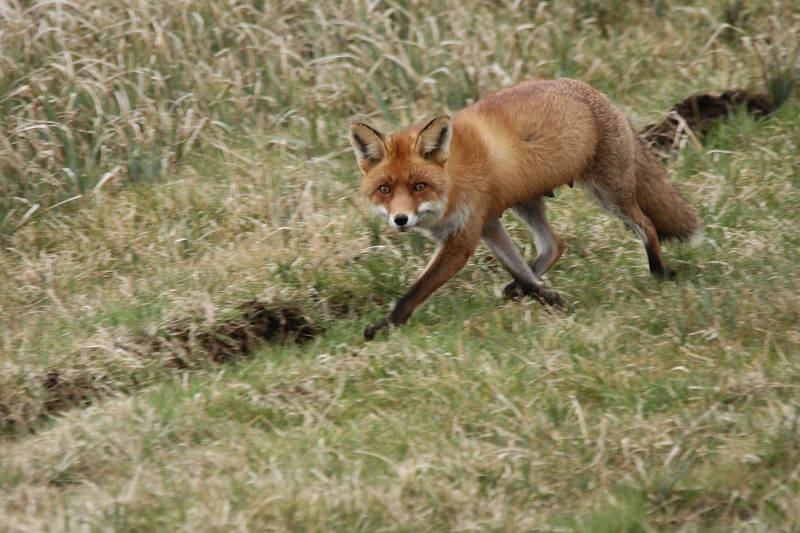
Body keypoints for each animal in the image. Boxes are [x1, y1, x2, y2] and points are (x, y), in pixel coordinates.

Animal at [350, 77, 700, 338]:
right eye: (385, 189)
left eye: (419, 186)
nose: (400, 219)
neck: (453, 180)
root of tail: (589, 88)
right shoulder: (486, 224)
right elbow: (520, 269)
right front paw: (551, 298)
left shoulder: (462, 239)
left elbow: (414, 292)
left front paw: (384, 327)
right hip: (527, 203)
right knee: (554, 245)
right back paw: (519, 289)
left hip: (610, 193)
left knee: (647, 225)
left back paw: (660, 273)